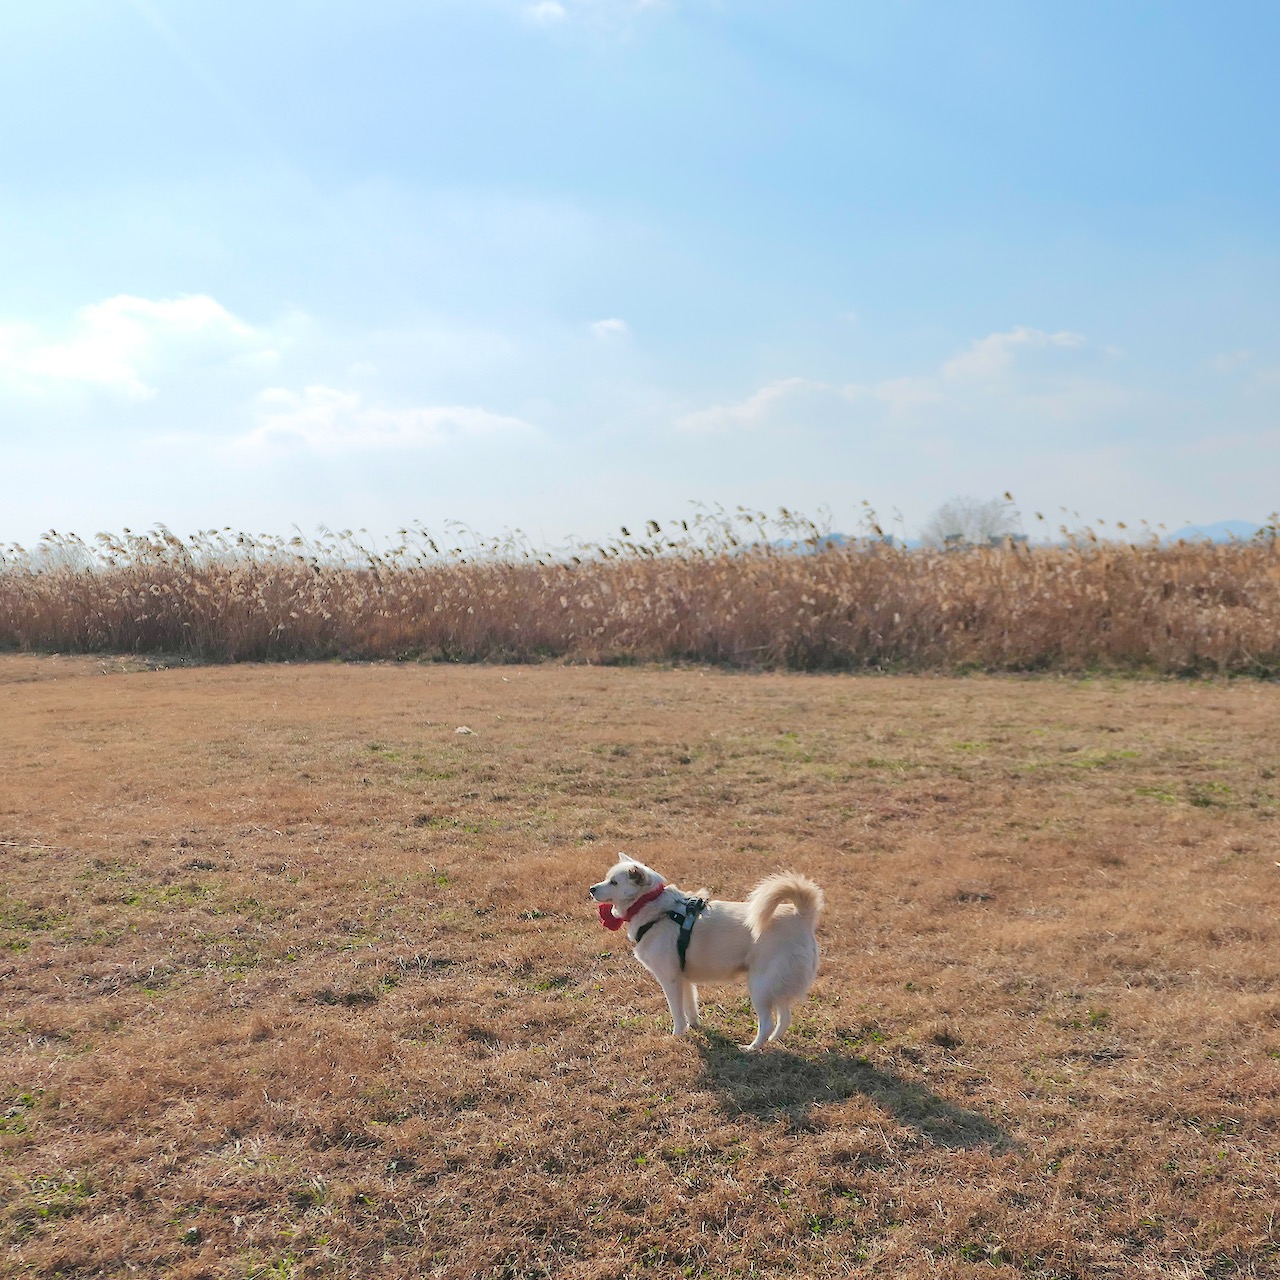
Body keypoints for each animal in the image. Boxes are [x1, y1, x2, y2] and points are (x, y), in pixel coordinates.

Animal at [586, 855, 824, 1054]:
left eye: (614, 882)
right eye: (607, 879)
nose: (591, 889)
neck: (655, 908)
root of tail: (801, 916)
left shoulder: (670, 980)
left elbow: (677, 1012)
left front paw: (677, 1035)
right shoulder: (684, 979)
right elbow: (690, 1007)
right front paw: (695, 1027)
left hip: (760, 986)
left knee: (767, 1023)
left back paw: (751, 1048)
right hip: (777, 985)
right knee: (785, 1018)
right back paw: (775, 1040)